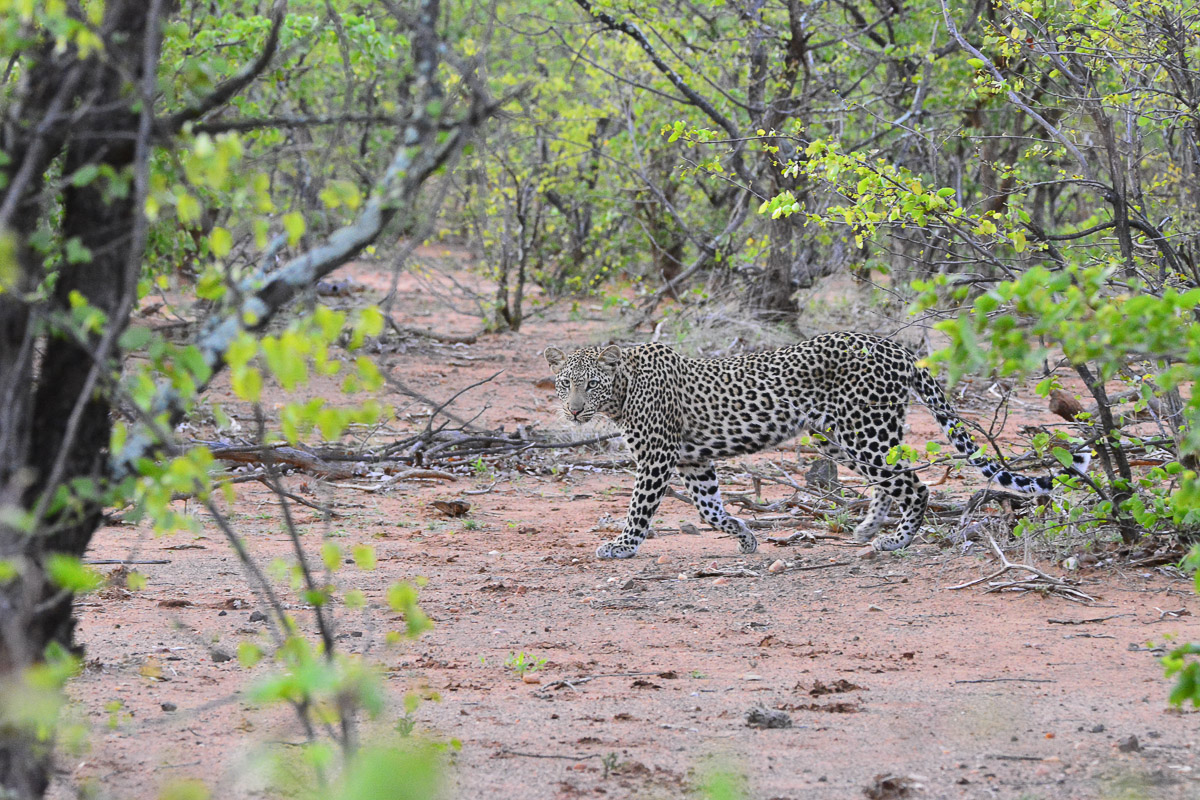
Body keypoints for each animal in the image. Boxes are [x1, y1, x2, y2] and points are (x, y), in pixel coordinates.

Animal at [544, 332, 1090, 559]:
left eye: (590, 384)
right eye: (564, 383)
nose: (573, 411)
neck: (623, 390)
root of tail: (898, 349)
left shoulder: (657, 458)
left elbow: (639, 508)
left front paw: (621, 546)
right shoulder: (696, 462)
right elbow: (709, 509)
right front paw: (745, 537)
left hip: (864, 432)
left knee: (914, 486)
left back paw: (895, 541)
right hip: (846, 436)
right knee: (891, 482)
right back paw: (868, 528)